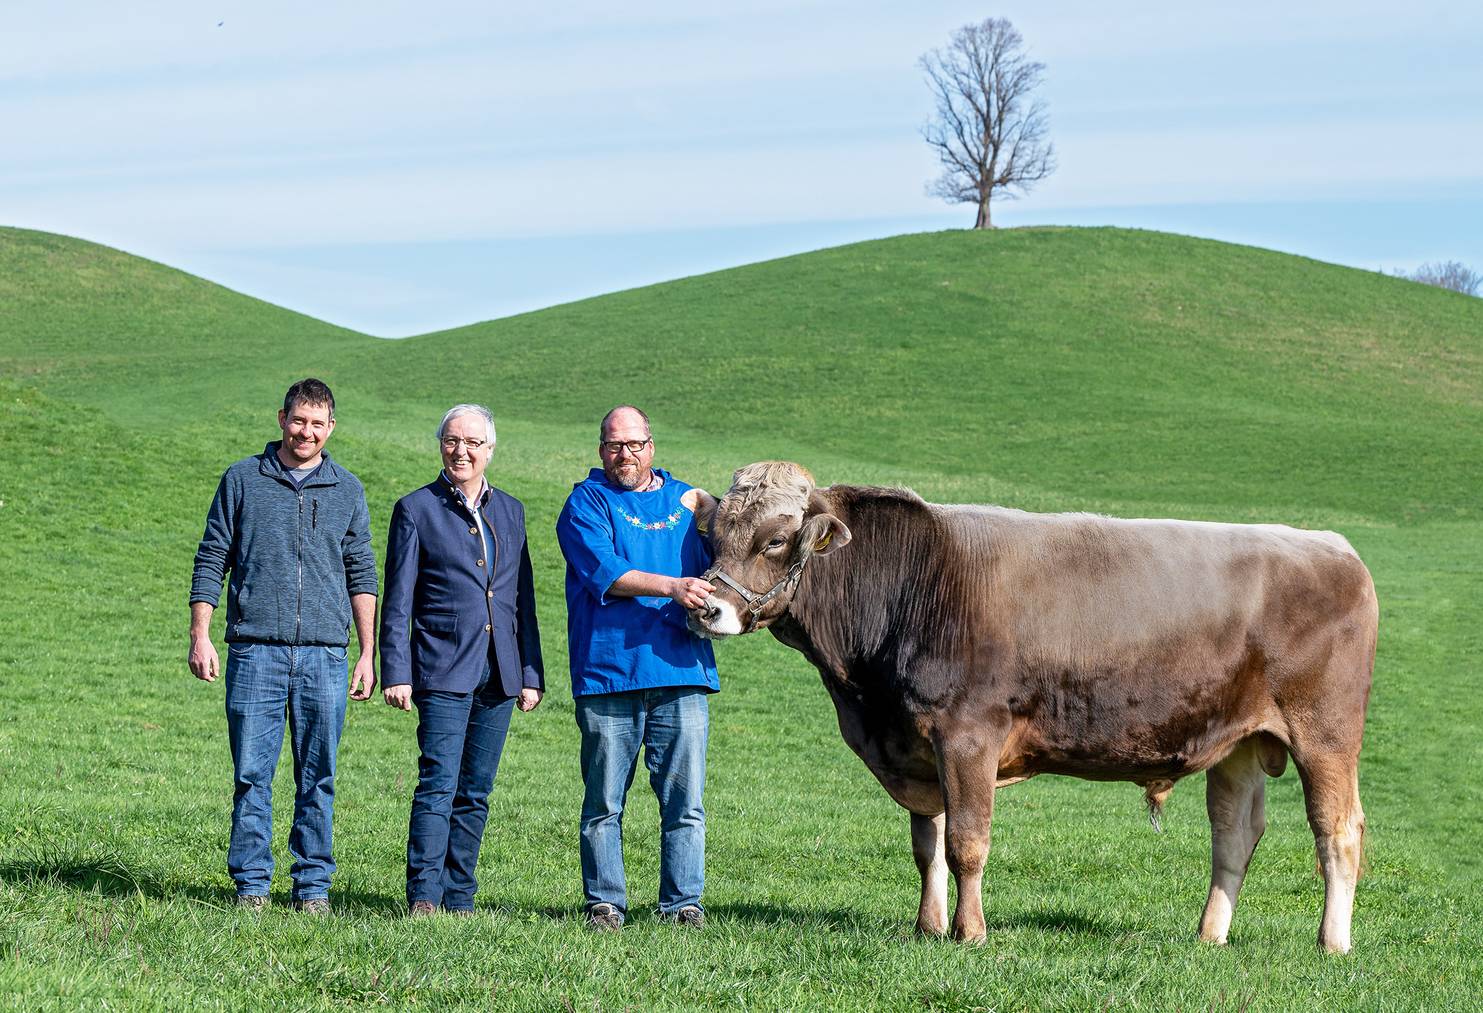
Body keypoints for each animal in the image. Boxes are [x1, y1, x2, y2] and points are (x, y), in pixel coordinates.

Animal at [688, 462, 1370, 955]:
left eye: (776, 540)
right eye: (712, 539)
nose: (706, 608)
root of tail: (1334, 547)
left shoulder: (968, 734)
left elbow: (966, 841)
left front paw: (970, 934)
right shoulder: (916, 745)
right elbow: (926, 844)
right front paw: (928, 927)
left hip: (1324, 735)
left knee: (1337, 831)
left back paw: (1332, 944)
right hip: (1239, 743)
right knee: (1234, 834)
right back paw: (1210, 937)